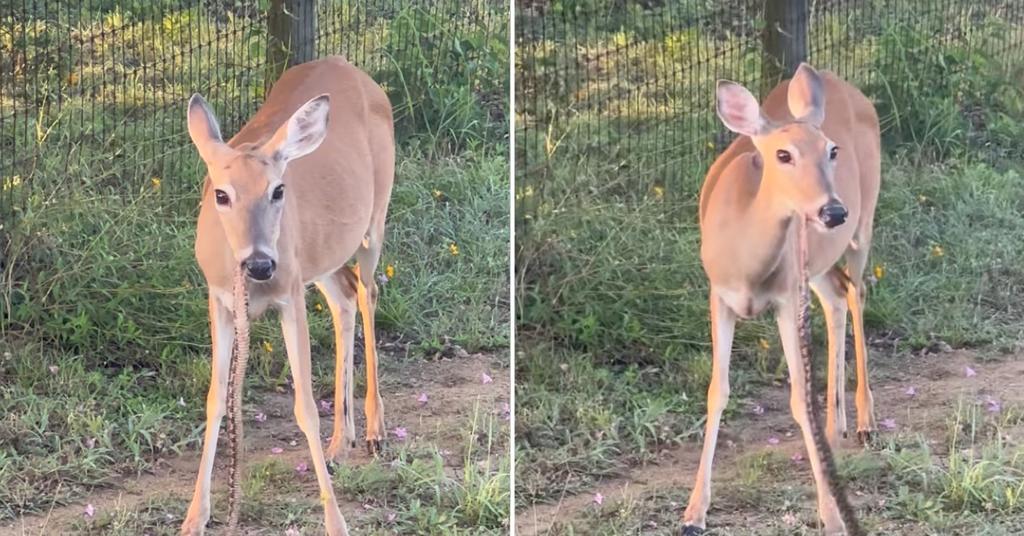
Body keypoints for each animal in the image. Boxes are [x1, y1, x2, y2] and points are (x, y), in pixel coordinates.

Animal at [179, 56, 394, 536]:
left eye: (278, 190)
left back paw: (374, 430)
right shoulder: (219, 299)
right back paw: (340, 443)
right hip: (323, 255)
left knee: (368, 291)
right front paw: (194, 516)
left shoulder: (289, 294)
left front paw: (336, 521)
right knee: (345, 296)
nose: (260, 264)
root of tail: (351, 66)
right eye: (221, 194)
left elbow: (305, 407)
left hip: (374, 218)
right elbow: (216, 399)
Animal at [681, 63, 880, 536]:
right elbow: (717, 390)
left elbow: (799, 398)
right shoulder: (719, 294)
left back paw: (865, 421)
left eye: (831, 150)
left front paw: (832, 515)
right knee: (837, 296)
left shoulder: (787, 300)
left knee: (858, 290)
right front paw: (694, 512)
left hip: (864, 223)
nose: (832, 211)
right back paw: (836, 428)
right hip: (818, 263)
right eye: (782, 155)